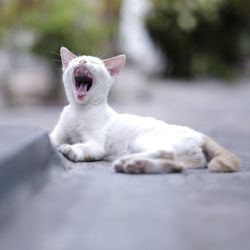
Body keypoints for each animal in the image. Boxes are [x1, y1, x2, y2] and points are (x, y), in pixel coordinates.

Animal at [49, 47, 240, 174]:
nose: (82, 61)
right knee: (177, 163)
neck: (78, 110)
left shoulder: (96, 145)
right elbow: (52, 138)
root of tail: (199, 134)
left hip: (143, 140)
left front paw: (72, 149)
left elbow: (86, 147)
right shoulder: (58, 133)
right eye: (77, 60)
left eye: (94, 62)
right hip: (182, 156)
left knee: (166, 152)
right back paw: (136, 165)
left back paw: (128, 160)